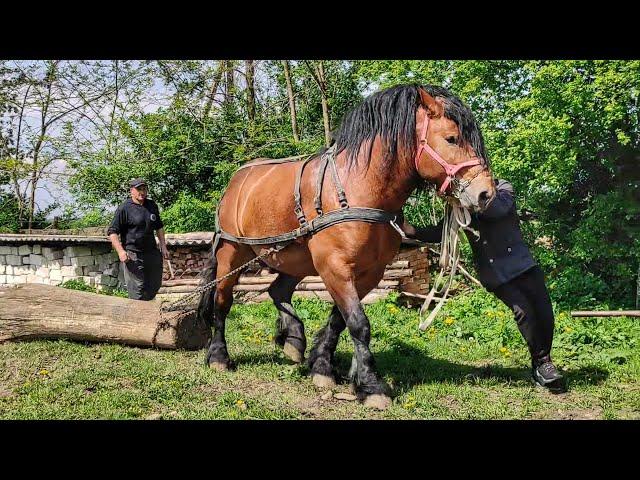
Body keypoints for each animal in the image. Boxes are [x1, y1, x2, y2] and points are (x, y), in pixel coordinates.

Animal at [198, 83, 498, 408]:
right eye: (451, 138)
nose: (485, 194)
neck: (359, 189)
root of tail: (237, 180)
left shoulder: (369, 272)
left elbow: (340, 320)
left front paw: (322, 366)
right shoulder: (335, 267)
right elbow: (358, 323)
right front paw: (371, 385)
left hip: (294, 258)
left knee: (277, 291)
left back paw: (293, 339)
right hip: (231, 254)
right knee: (223, 301)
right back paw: (219, 356)